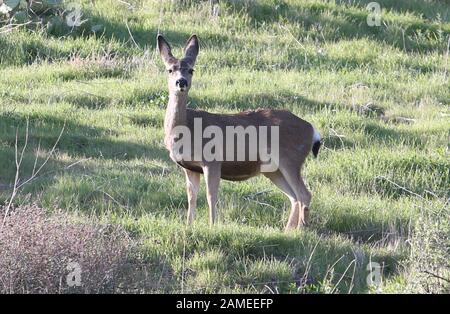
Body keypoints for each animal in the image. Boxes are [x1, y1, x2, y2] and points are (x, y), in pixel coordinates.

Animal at [156, 33, 322, 231]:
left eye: (191, 70)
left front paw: (212, 226)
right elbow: (191, 196)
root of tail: (312, 130)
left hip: (290, 159)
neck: (186, 129)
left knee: (304, 194)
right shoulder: (190, 167)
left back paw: (300, 230)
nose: (181, 82)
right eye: (170, 70)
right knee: (294, 196)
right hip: (272, 169)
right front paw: (189, 226)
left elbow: (211, 195)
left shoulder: (212, 160)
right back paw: (288, 231)